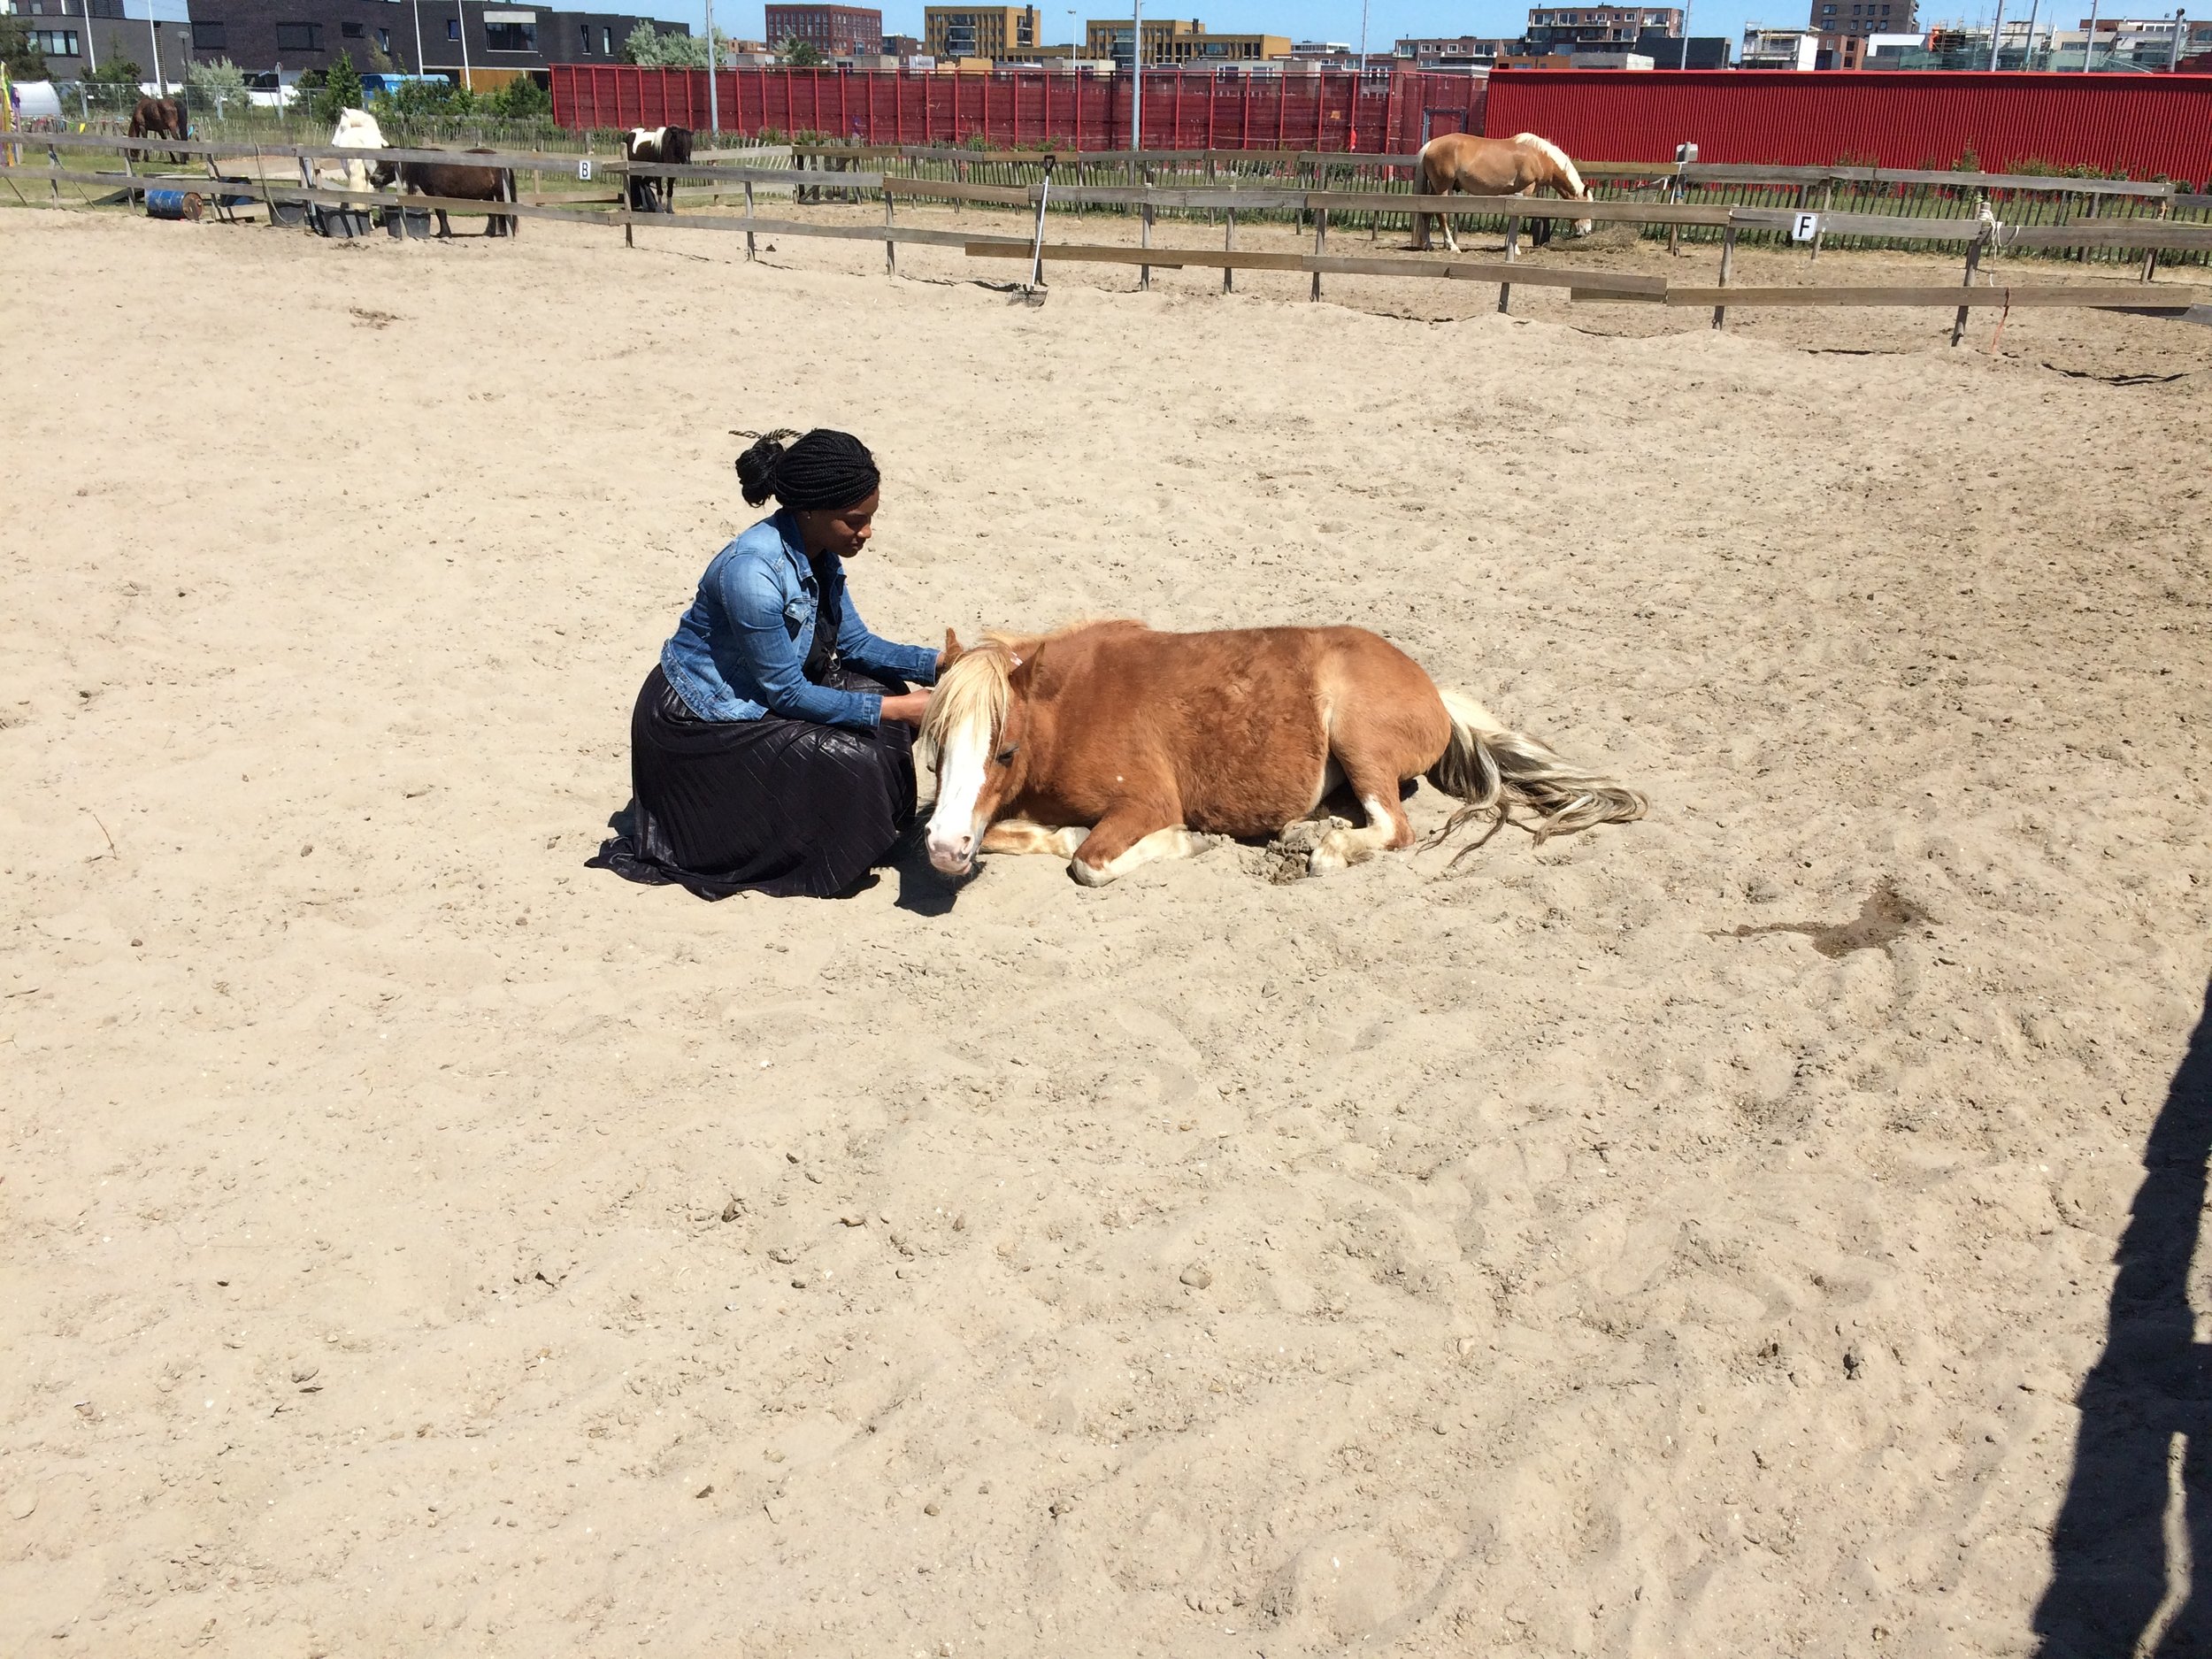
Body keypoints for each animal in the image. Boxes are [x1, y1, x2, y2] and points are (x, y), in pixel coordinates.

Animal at [380, 148, 522, 236]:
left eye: (390, 164)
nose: (375, 179)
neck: (430, 166)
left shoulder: (438, 195)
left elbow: (441, 214)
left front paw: (444, 233)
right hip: (488, 195)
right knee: (492, 214)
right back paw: (488, 233)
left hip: (499, 194)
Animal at [916, 619, 1646, 885]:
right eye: (934, 753)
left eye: (1004, 750)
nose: (944, 849)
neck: (1070, 709)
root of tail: (1434, 693)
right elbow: (1021, 835)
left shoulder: (1145, 802)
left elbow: (1092, 861)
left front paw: (1186, 842)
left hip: (1357, 736)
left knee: (1395, 827)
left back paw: (1328, 849)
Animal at [1416, 131, 1593, 253]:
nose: (1587, 230)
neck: (1539, 157)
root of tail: (1430, 145)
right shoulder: (1526, 190)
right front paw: (1515, 249)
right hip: (1443, 187)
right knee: (1441, 214)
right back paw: (1452, 246)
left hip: (1435, 188)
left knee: (1427, 213)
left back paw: (1429, 245)